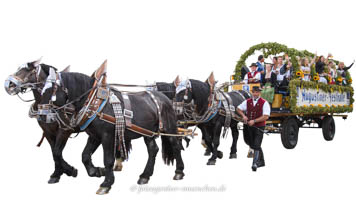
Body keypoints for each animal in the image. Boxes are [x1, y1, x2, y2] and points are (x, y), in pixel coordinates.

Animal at [38, 62, 185, 194]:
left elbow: (108, 159)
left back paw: (179, 171)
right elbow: (85, 155)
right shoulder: (94, 136)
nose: (42, 116)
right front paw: (95, 171)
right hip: (148, 132)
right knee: (153, 150)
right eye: (41, 90)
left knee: (175, 145)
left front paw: (106, 183)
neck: (94, 103)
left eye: (50, 90)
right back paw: (145, 175)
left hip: (169, 128)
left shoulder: (107, 136)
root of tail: (164, 98)